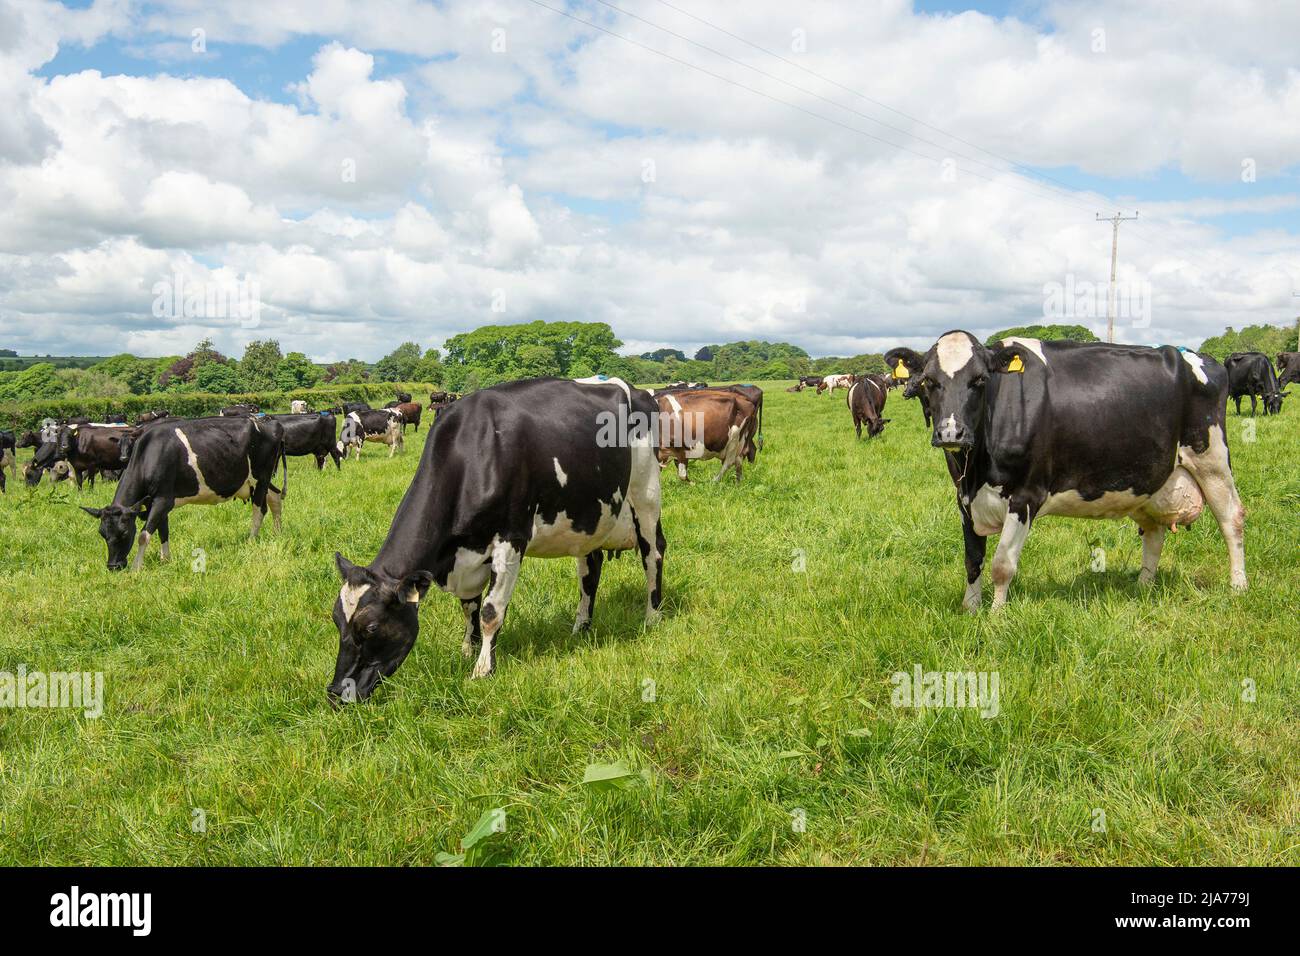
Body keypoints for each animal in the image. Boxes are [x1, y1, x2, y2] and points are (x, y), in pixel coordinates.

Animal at [81, 416, 287, 567]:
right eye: (102, 533)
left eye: (124, 532)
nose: (113, 566)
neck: (148, 456)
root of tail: (271, 423)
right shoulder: (154, 501)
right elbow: (163, 530)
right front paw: (165, 559)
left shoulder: (163, 500)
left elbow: (143, 535)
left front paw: (136, 568)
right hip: (254, 482)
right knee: (275, 497)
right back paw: (277, 533)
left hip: (261, 477)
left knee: (259, 509)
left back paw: (251, 539)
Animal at [330, 374, 665, 702]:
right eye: (336, 620)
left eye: (371, 627)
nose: (335, 693)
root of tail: (638, 391)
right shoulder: (467, 554)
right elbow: (470, 608)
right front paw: (467, 650)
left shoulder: (511, 538)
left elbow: (491, 610)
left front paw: (482, 670)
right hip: (589, 517)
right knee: (590, 570)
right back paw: (581, 627)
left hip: (646, 494)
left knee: (654, 554)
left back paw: (652, 617)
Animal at [889, 332, 1242, 608]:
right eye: (929, 382)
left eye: (979, 380)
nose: (951, 433)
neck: (976, 469)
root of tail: (1197, 356)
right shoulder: (963, 498)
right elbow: (972, 561)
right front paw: (970, 610)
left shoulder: (1026, 495)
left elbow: (1002, 565)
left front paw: (996, 618)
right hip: (1148, 482)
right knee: (1154, 533)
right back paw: (1143, 588)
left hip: (1212, 461)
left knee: (1232, 520)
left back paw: (1238, 587)